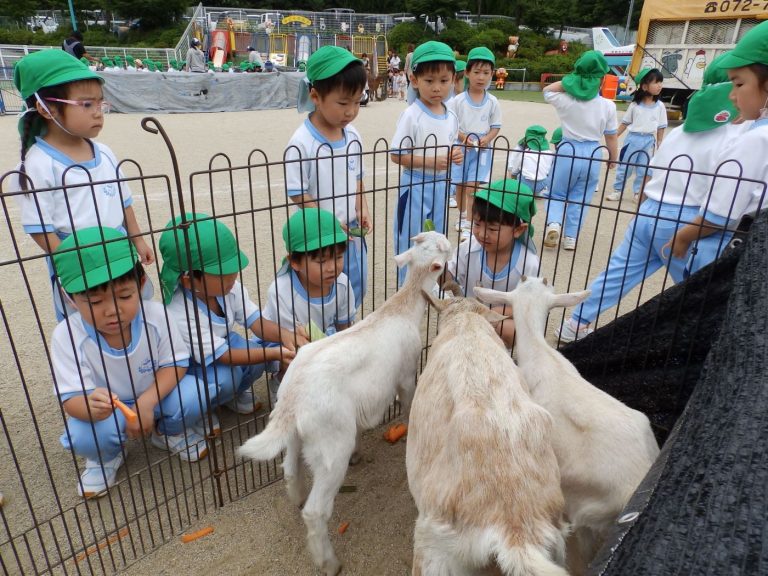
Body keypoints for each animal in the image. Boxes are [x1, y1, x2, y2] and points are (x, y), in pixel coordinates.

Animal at [238, 232, 450, 572]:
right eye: (445, 252)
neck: (402, 308)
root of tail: (293, 395)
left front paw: (358, 453)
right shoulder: (406, 374)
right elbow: (408, 401)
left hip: (297, 434)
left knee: (290, 469)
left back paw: (296, 497)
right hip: (330, 444)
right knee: (316, 511)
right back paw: (328, 562)